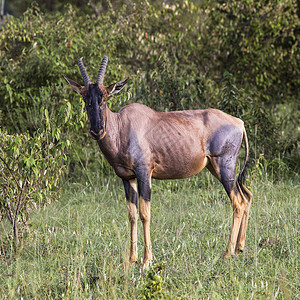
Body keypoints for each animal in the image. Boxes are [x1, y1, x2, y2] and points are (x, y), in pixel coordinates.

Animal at [63, 55, 253, 268]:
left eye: (104, 97)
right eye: (85, 99)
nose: (97, 131)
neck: (123, 126)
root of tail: (239, 123)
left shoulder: (144, 172)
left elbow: (145, 213)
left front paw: (147, 260)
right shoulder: (127, 178)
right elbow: (132, 214)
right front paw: (131, 259)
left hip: (224, 167)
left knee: (238, 202)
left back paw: (227, 254)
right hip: (216, 168)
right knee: (247, 196)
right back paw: (239, 248)